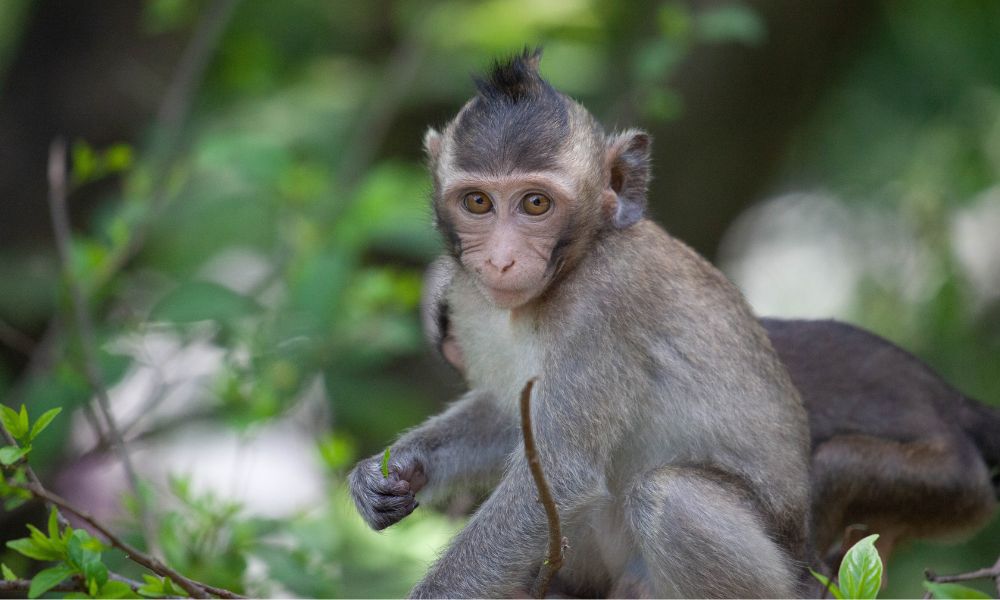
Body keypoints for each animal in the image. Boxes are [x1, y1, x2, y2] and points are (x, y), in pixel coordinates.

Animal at [349, 48, 813, 598]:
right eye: (478, 201)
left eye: (536, 203)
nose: (501, 260)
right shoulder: (469, 298)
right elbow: (508, 420)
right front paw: (392, 468)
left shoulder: (602, 309)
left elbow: (560, 474)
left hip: (772, 576)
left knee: (669, 498)